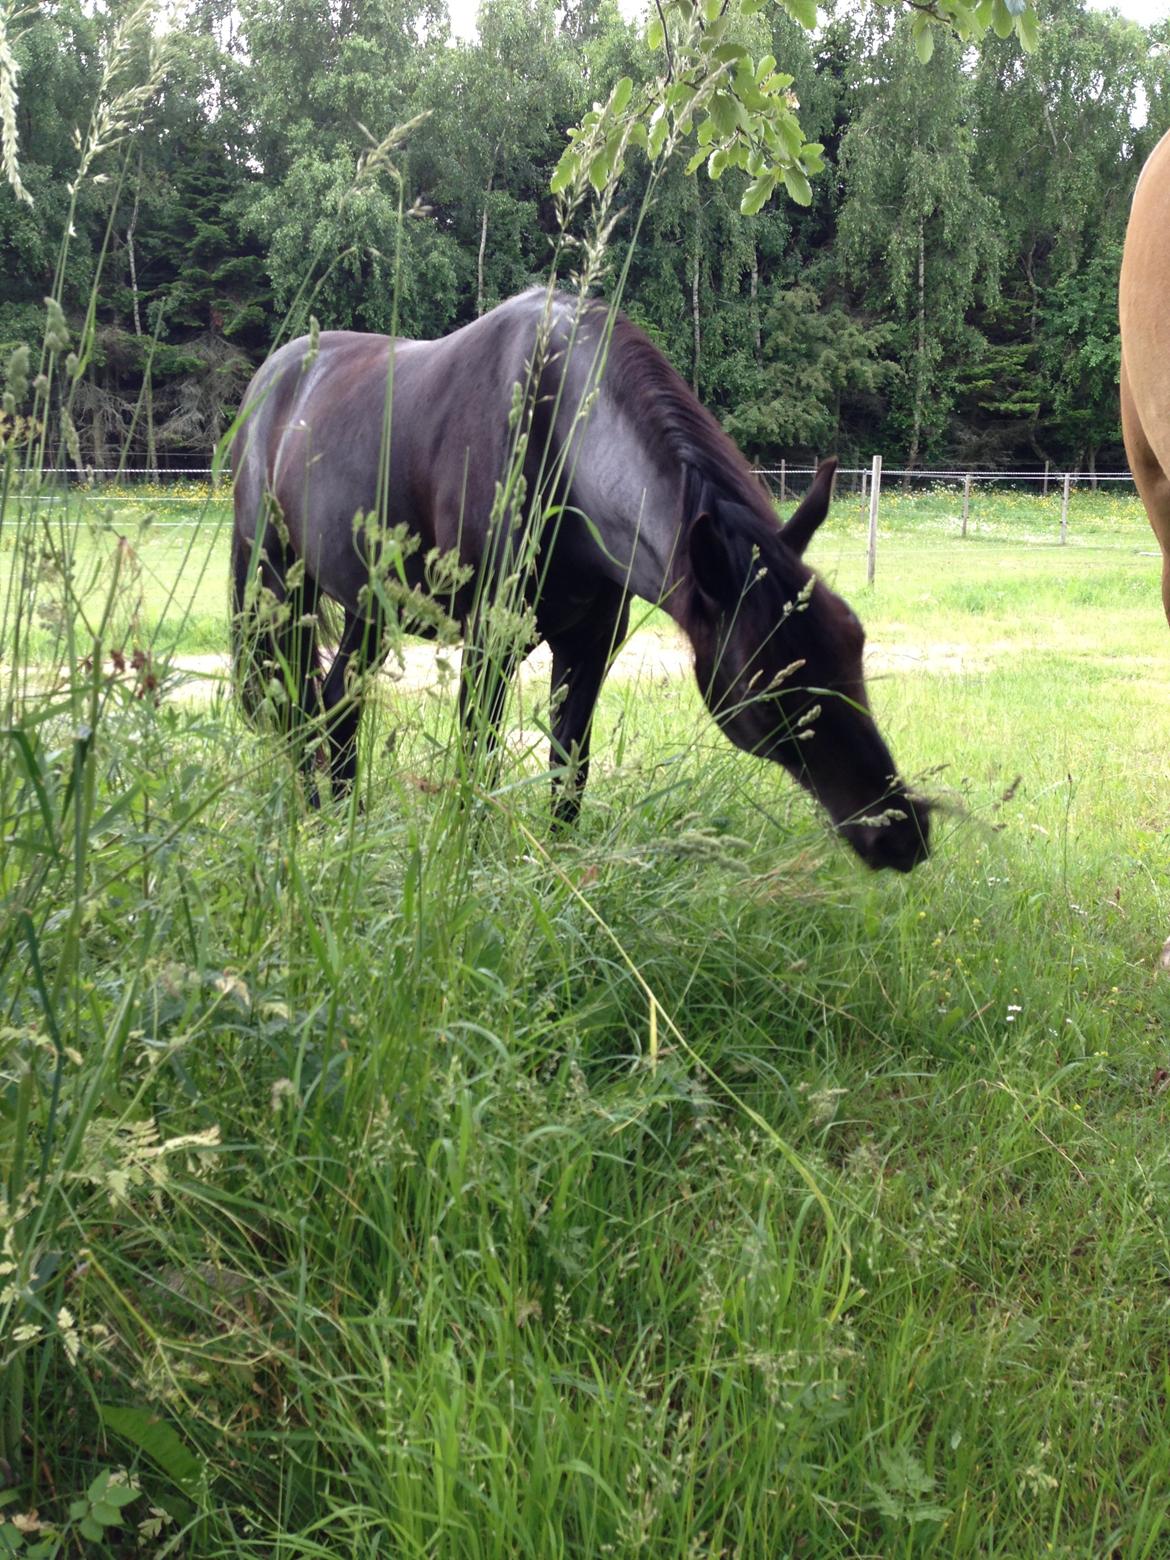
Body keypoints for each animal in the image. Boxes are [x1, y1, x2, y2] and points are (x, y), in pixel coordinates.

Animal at [230, 288, 935, 873]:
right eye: (767, 693)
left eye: (855, 643)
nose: (903, 834)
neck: (556, 441)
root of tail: (274, 376)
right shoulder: (490, 645)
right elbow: (478, 763)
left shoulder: (590, 646)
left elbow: (570, 773)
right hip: (277, 586)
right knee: (297, 706)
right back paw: (318, 826)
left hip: (369, 606)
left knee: (337, 704)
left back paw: (345, 825)